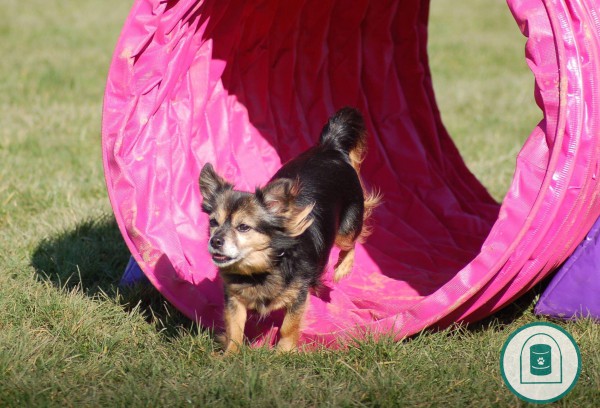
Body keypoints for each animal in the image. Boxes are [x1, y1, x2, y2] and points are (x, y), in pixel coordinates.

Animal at [202, 108, 380, 354]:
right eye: (213, 222)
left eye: (243, 227)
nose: (215, 241)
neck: (260, 268)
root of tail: (330, 147)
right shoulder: (234, 298)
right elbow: (234, 327)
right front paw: (230, 354)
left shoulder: (298, 295)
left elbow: (288, 325)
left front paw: (283, 353)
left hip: (346, 228)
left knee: (351, 243)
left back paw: (342, 269)